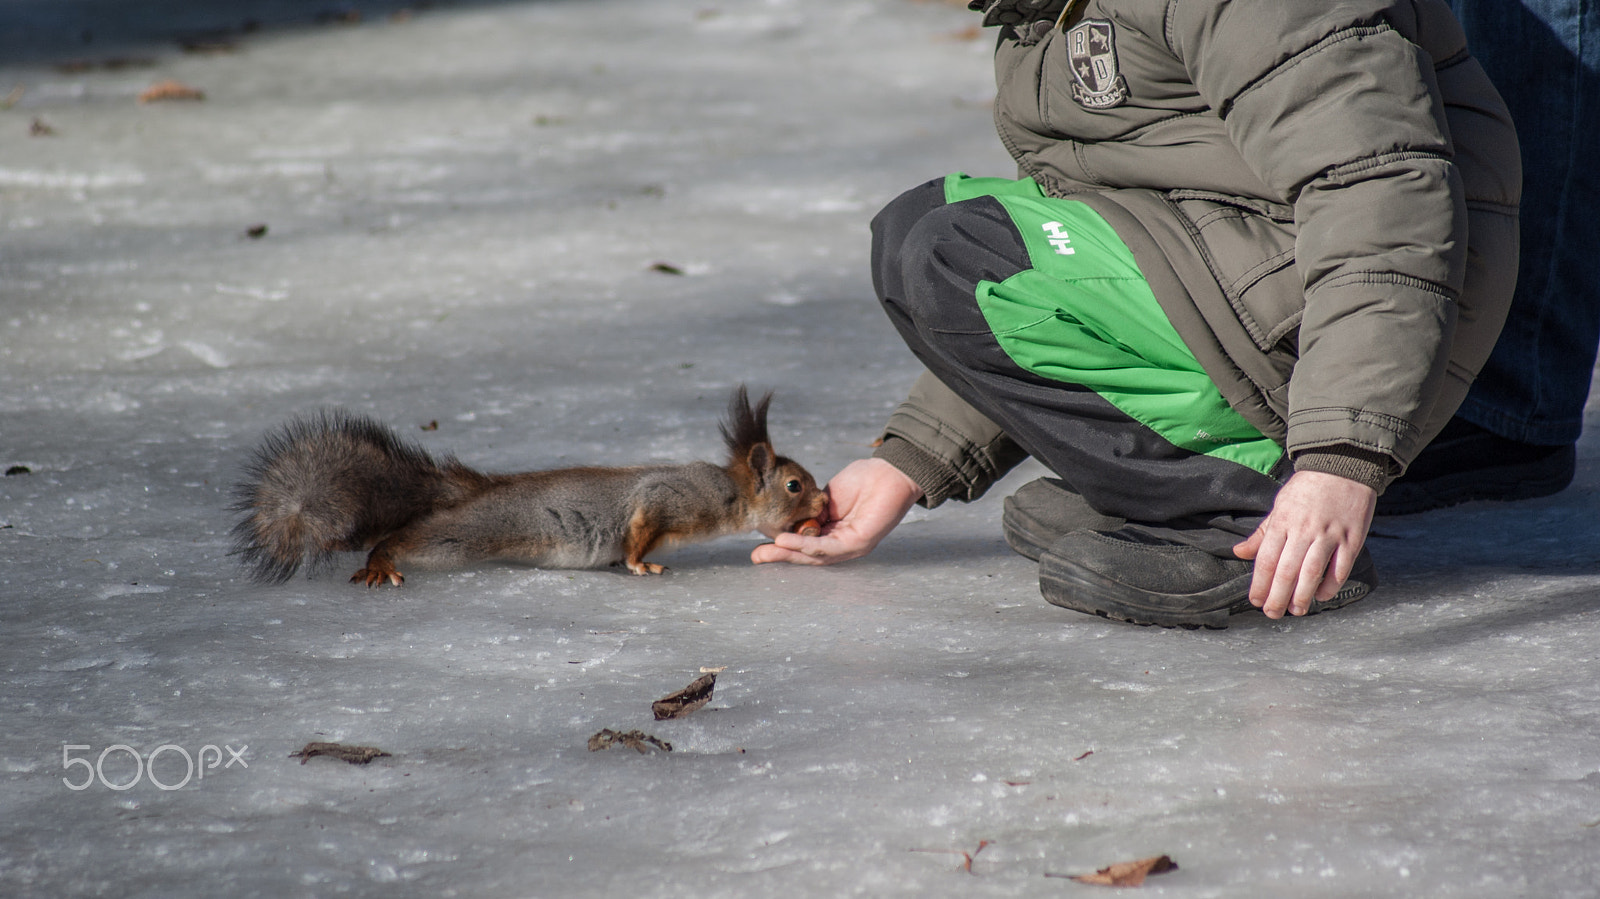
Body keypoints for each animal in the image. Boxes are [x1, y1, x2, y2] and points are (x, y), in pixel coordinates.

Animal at [232, 387, 832, 585]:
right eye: (795, 484)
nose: (826, 502)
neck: (728, 494)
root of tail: (466, 496)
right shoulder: (670, 499)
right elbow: (640, 530)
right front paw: (639, 564)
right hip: (459, 537)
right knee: (401, 539)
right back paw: (382, 562)